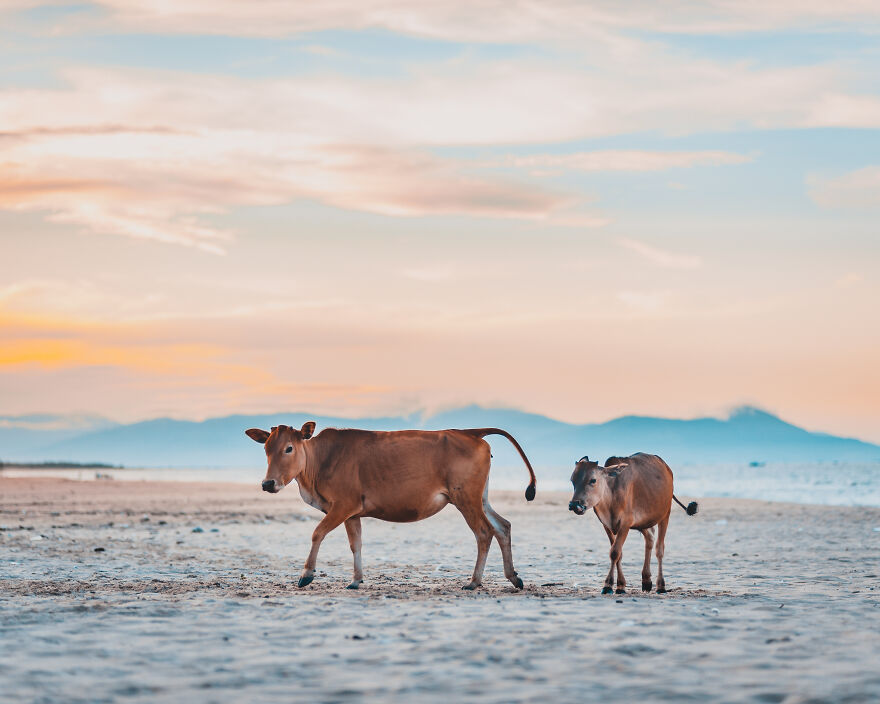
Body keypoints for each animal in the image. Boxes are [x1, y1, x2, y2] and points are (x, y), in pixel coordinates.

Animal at [245, 422, 537, 590]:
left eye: (289, 448)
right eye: (266, 449)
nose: (268, 483)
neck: (319, 461)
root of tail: (470, 432)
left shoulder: (343, 505)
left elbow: (317, 533)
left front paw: (306, 575)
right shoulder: (352, 512)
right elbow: (356, 544)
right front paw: (356, 580)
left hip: (465, 498)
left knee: (484, 533)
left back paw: (474, 582)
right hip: (480, 498)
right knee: (503, 526)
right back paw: (513, 577)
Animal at [568, 453, 697, 594]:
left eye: (593, 480)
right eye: (572, 480)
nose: (574, 504)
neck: (611, 497)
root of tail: (666, 467)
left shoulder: (625, 523)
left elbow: (615, 552)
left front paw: (608, 585)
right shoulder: (606, 525)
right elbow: (618, 553)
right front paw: (620, 585)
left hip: (665, 515)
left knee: (659, 549)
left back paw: (661, 586)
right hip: (644, 522)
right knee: (650, 539)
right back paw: (646, 581)